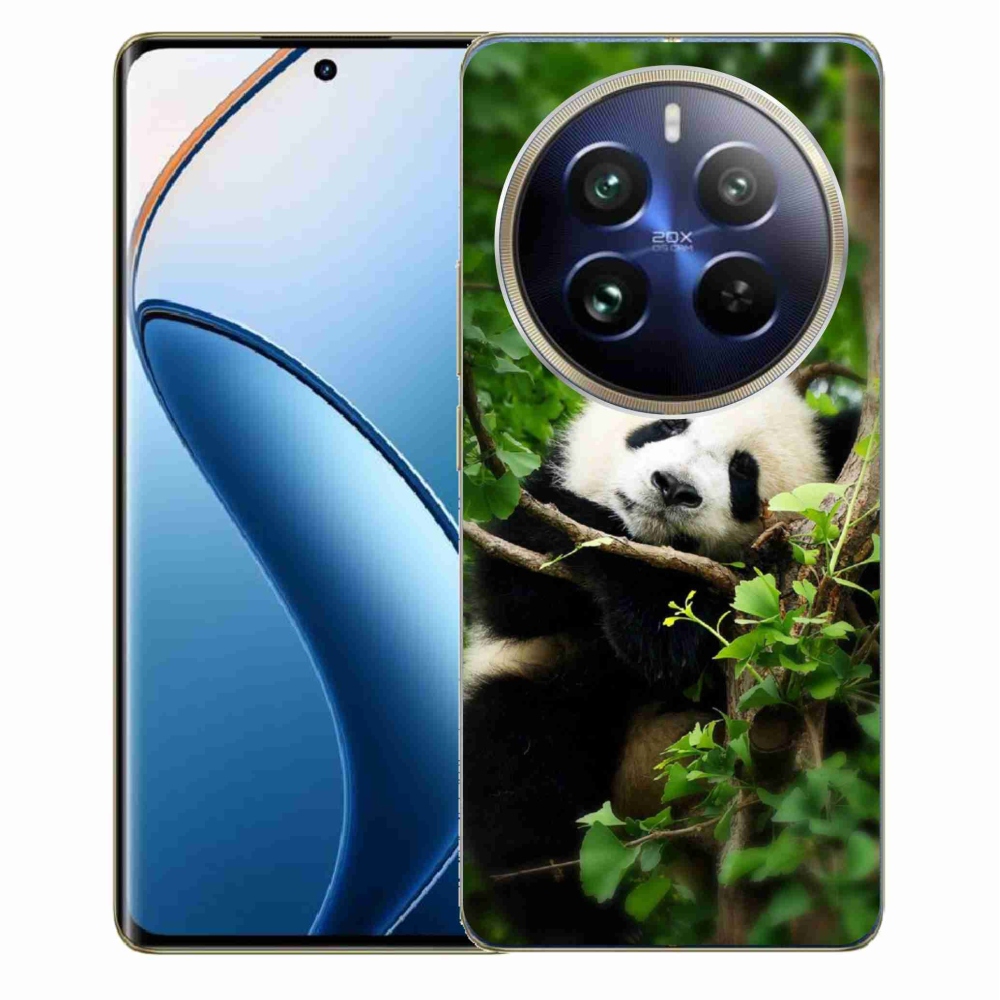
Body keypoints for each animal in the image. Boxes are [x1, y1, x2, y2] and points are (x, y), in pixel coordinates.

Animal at [462, 379, 859, 945]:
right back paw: (584, 923)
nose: (673, 488)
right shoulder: (526, 528)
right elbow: (520, 585)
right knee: (521, 773)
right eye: (668, 424)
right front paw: (663, 617)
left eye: (743, 473)